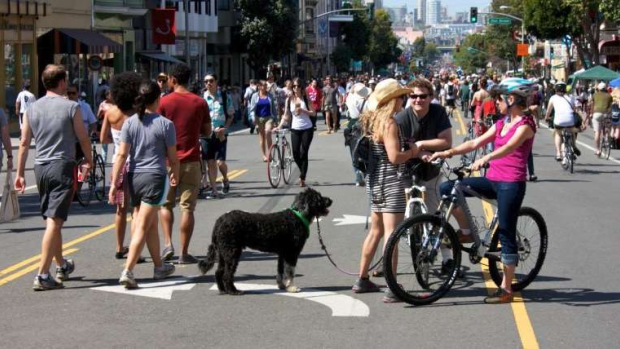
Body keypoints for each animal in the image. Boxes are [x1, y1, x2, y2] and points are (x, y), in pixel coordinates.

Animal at [200, 188, 334, 294]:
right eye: (319, 198)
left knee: (218, 272)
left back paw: (222, 290)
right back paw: (233, 291)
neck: (298, 216)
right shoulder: (291, 253)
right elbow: (290, 272)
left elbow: (280, 271)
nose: (331, 200)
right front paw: (291, 287)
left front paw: (282, 285)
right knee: (227, 275)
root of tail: (220, 220)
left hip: (224, 252)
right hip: (232, 252)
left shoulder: (282, 253)